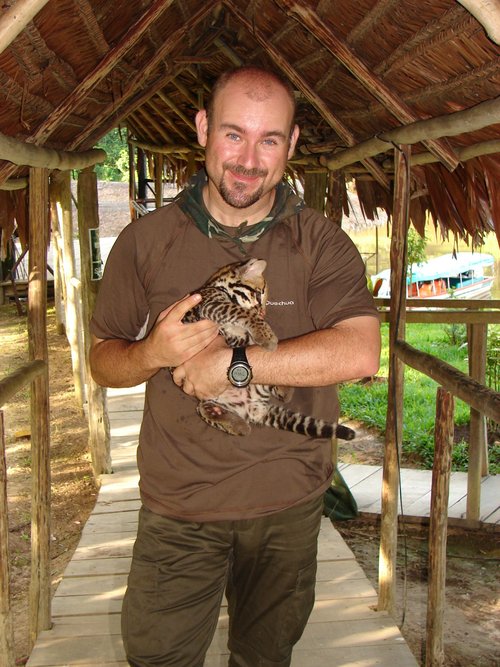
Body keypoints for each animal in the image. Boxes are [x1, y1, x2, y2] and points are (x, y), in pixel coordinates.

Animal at [183, 258, 356, 440]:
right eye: (259, 294)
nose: (263, 313)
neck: (217, 285)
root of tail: (252, 407)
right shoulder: (210, 304)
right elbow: (241, 311)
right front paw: (266, 336)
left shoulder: (236, 336)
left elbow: (244, 333)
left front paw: (262, 335)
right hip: (213, 400)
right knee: (204, 409)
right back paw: (232, 422)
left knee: (281, 394)